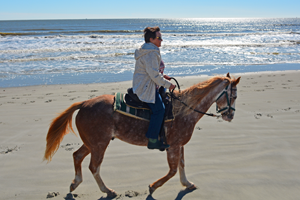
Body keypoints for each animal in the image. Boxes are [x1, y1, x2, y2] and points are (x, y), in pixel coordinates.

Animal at [44, 72, 241, 198]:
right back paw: (107, 191)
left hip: (91, 143)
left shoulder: (179, 145)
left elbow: (182, 165)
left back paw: (75, 183)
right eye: (234, 96)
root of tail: (84, 103)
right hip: (100, 144)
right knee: (94, 167)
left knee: (77, 156)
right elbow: (172, 170)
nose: (230, 116)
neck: (184, 110)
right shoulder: (173, 147)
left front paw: (187, 183)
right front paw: (153, 187)